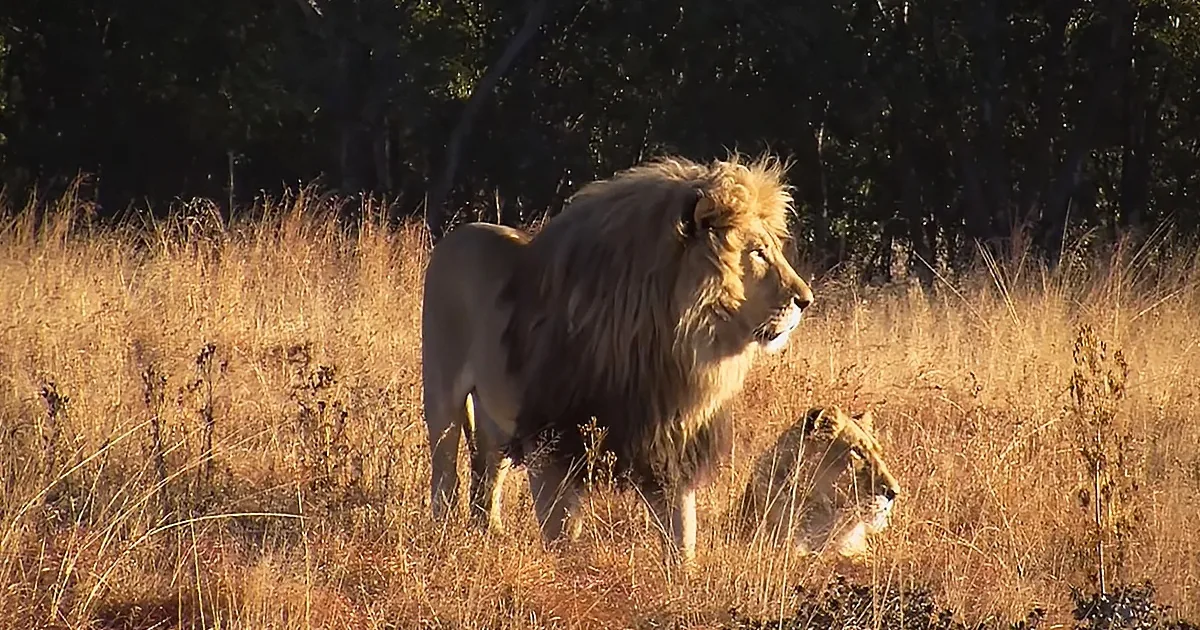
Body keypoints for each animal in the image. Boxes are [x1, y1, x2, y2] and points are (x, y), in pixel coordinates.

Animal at [420, 152, 814, 566]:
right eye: (757, 252)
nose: (806, 300)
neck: (675, 347)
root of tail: (456, 235)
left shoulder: (666, 450)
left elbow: (682, 535)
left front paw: (684, 577)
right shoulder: (552, 442)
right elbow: (561, 533)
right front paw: (569, 571)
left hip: (494, 415)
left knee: (487, 470)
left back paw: (489, 532)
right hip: (442, 394)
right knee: (444, 471)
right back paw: (443, 534)